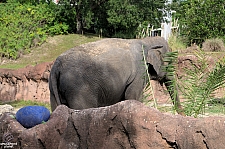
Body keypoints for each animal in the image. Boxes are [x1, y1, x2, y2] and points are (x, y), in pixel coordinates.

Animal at [49, 36, 185, 115]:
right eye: (171, 62)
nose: (183, 114)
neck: (146, 40)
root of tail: (57, 65)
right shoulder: (138, 74)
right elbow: (133, 97)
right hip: (79, 90)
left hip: (54, 90)